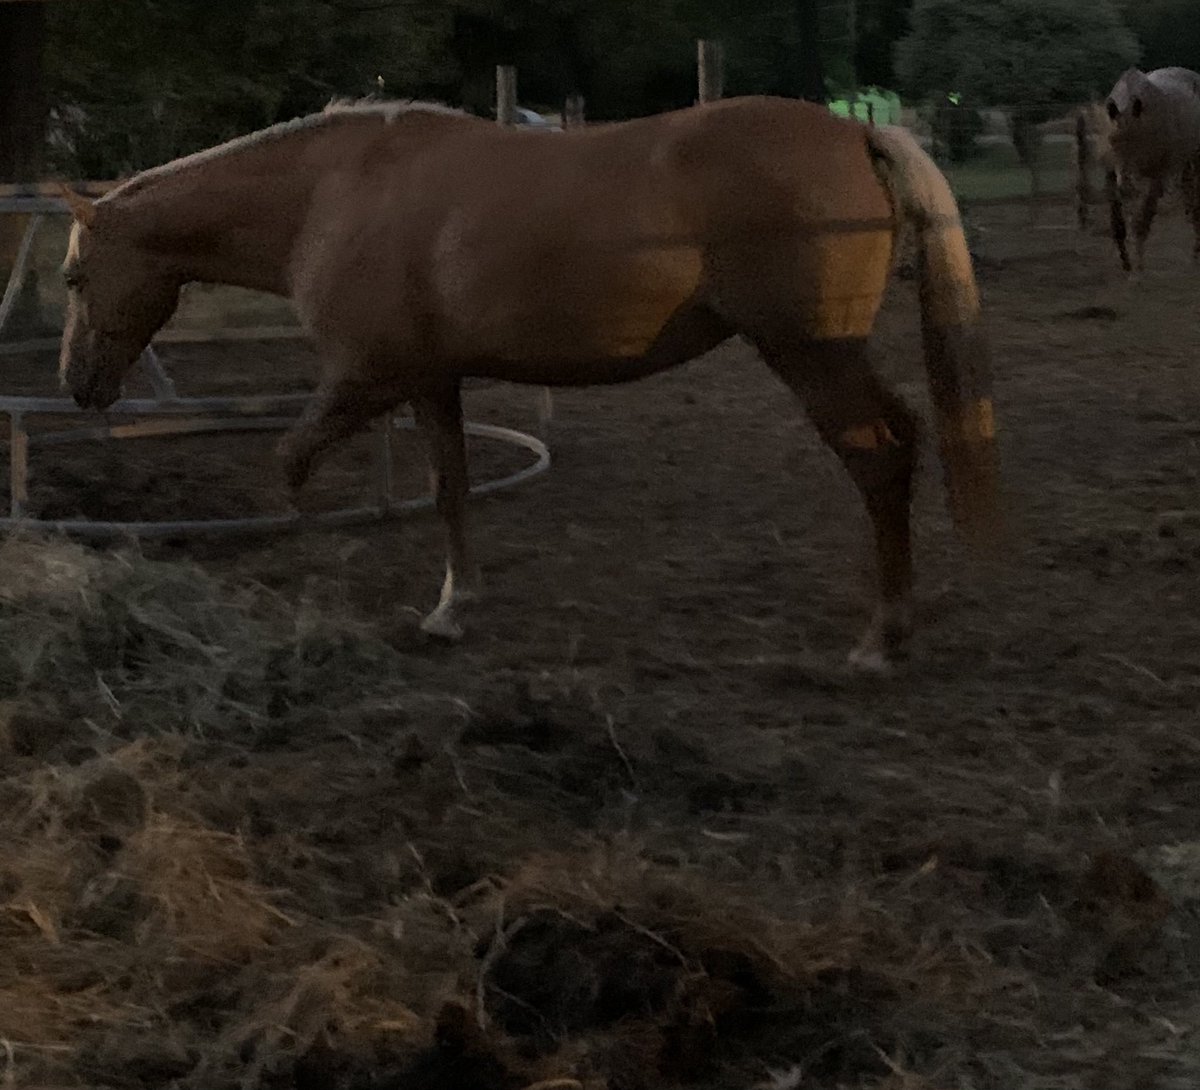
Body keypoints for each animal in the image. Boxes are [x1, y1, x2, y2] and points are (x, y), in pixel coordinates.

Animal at [56, 95, 998, 672]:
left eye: (71, 278)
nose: (76, 385)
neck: (330, 192)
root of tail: (854, 134)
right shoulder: (429, 379)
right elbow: (450, 488)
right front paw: (451, 608)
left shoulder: (365, 377)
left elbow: (290, 462)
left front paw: (312, 569)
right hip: (826, 356)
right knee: (904, 442)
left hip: (812, 355)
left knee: (878, 459)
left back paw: (880, 638)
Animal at [1094, 67, 1200, 272]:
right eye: (1112, 141)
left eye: (1138, 141)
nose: (1126, 185)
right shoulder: (1111, 175)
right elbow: (1118, 224)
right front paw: (1127, 264)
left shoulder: (1156, 177)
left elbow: (1142, 223)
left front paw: (1138, 270)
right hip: (1185, 166)